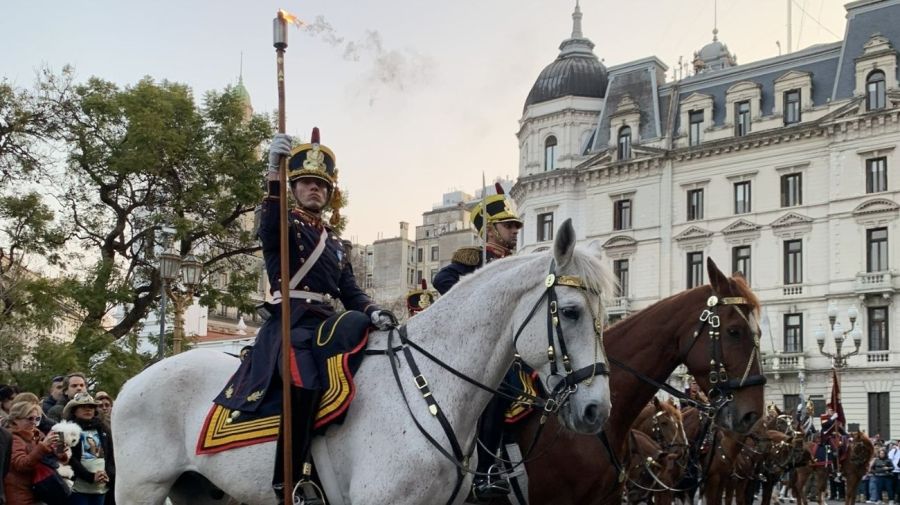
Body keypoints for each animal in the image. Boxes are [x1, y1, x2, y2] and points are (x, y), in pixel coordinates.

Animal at [112, 220, 616, 504]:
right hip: (139, 488)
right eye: (572, 312)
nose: (597, 410)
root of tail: (131, 383)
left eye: (603, 316)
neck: (430, 391)